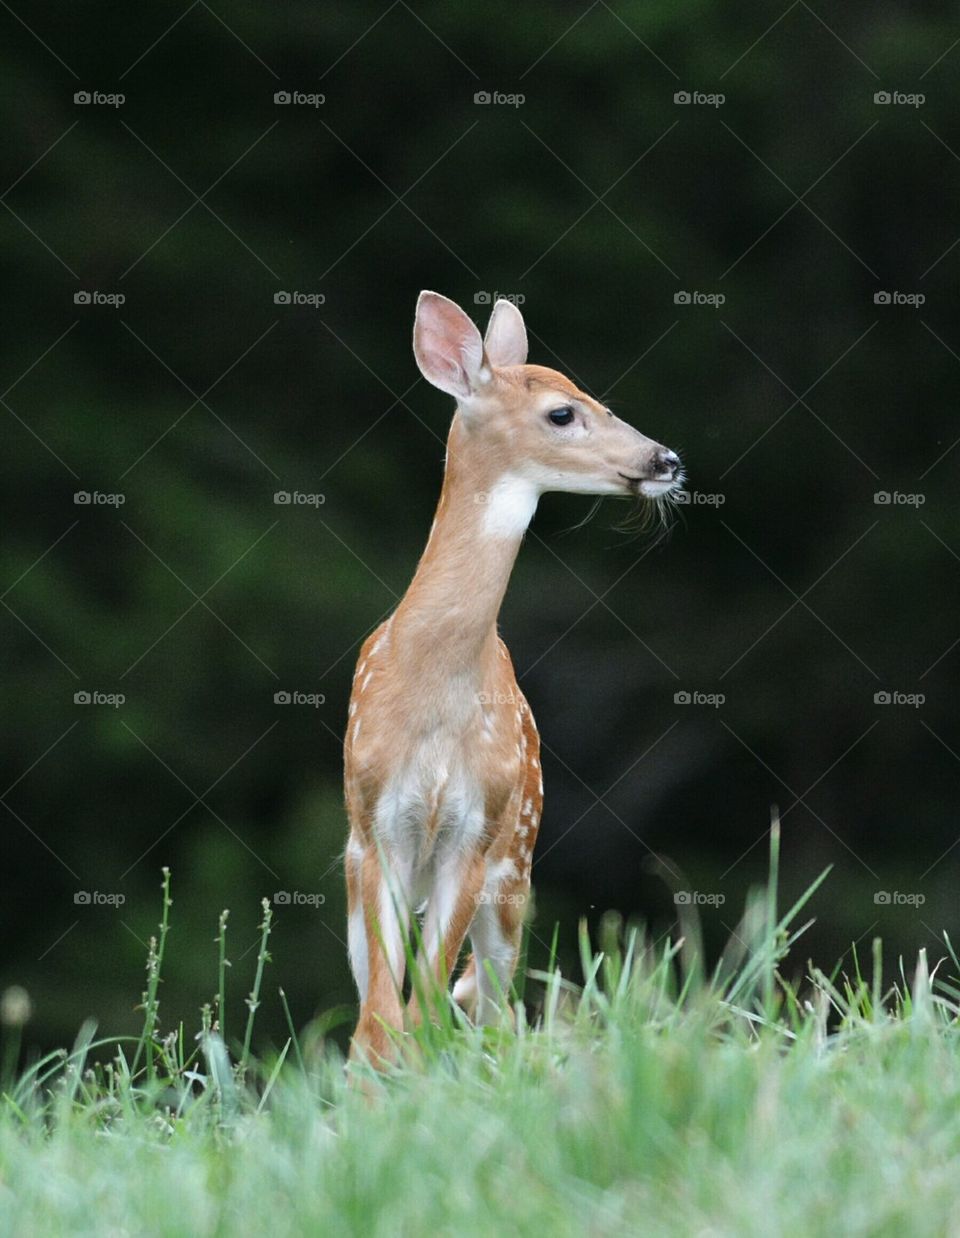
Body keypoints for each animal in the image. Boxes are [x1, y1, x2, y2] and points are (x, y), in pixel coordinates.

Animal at [343, 291, 682, 1067]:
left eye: (600, 399)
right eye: (562, 412)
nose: (667, 459)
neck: (434, 693)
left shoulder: (478, 828)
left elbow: (421, 1011)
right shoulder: (376, 822)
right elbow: (379, 1020)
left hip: (516, 868)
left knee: (492, 1008)